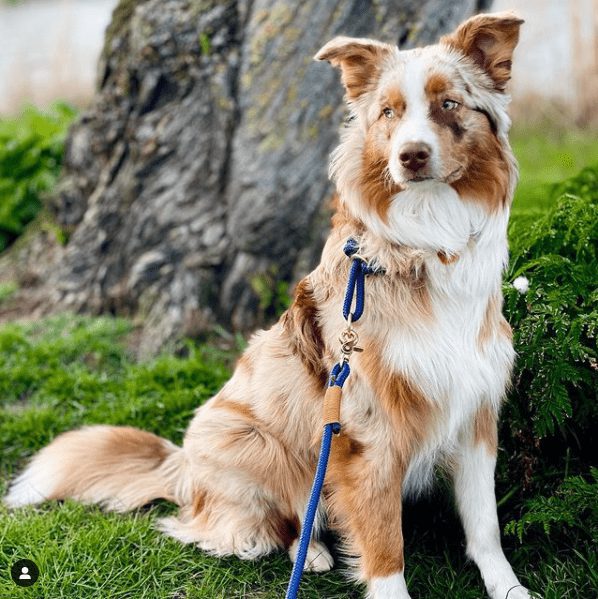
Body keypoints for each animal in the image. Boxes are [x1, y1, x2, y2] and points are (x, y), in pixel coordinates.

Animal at [5, 11, 530, 599]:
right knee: (259, 522)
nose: (410, 156)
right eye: (389, 112)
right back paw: (309, 552)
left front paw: (511, 589)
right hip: (254, 441)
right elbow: (384, 546)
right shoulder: (366, 435)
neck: (425, 246)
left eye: (449, 104)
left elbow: (485, 526)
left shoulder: (475, 413)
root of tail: (182, 465)